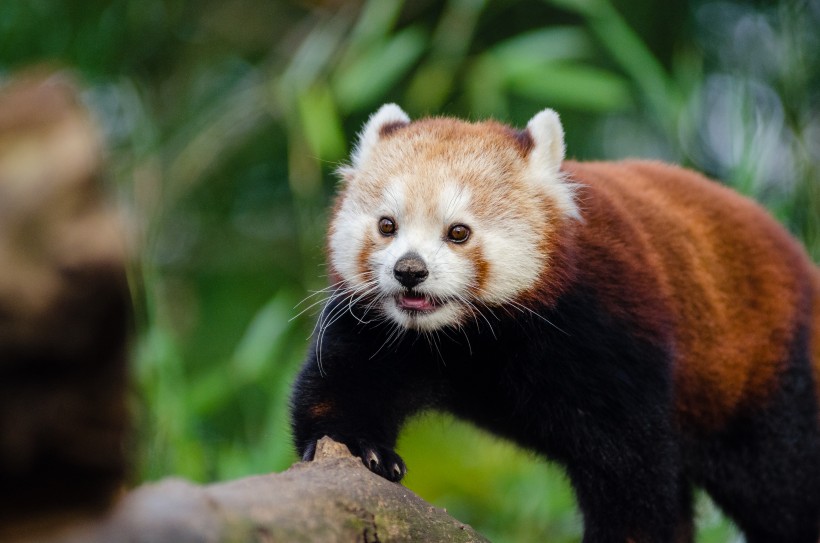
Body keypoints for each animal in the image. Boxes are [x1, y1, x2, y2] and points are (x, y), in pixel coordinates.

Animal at [290, 104, 820, 540]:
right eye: (387, 225)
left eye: (458, 232)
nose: (409, 271)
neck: (465, 336)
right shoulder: (378, 329)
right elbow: (342, 386)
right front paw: (363, 448)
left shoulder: (606, 329)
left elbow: (632, 468)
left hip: (763, 376)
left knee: (783, 482)